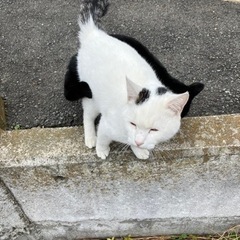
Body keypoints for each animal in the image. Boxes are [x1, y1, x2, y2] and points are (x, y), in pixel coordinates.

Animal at [63, 0, 204, 159]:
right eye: (133, 124)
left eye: (154, 130)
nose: (139, 141)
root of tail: (95, 33)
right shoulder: (107, 124)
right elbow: (103, 137)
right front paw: (102, 149)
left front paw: (137, 149)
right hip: (90, 92)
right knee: (88, 113)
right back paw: (91, 137)